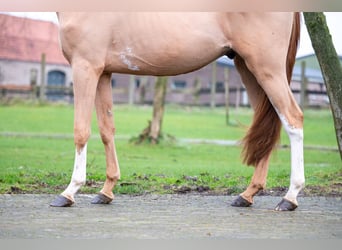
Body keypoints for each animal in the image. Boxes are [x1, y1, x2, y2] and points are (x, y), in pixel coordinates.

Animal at [50, 12, 302, 211]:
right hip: (248, 68)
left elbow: (81, 131)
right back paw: (247, 195)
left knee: (293, 118)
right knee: (269, 127)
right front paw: (106, 191)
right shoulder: (103, 73)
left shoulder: (85, 67)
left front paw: (69, 192)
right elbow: (106, 130)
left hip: (266, 68)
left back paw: (289, 198)